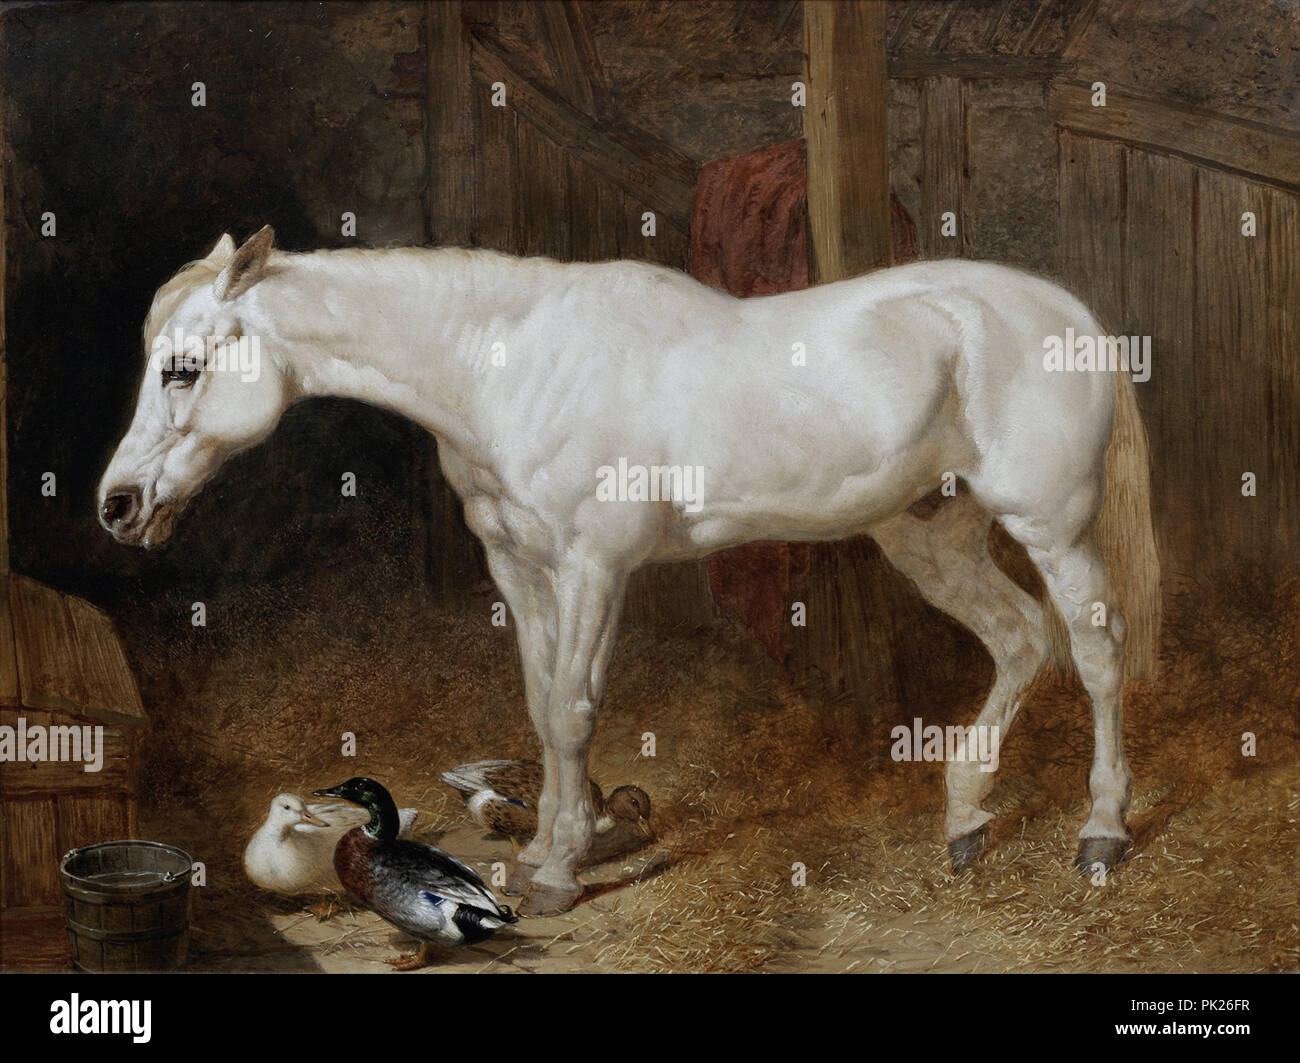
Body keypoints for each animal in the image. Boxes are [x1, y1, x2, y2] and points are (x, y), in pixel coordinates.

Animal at [98, 227, 1160, 915]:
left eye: (184, 367)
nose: (118, 505)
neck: (508, 361)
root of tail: (1066, 309)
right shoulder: (520, 568)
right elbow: (538, 707)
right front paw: (542, 845)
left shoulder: (593, 566)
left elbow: (574, 709)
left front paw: (559, 872)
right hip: (931, 534)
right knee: (1021, 639)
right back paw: (966, 818)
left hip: (1053, 527)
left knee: (1098, 652)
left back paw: (1102, 832)